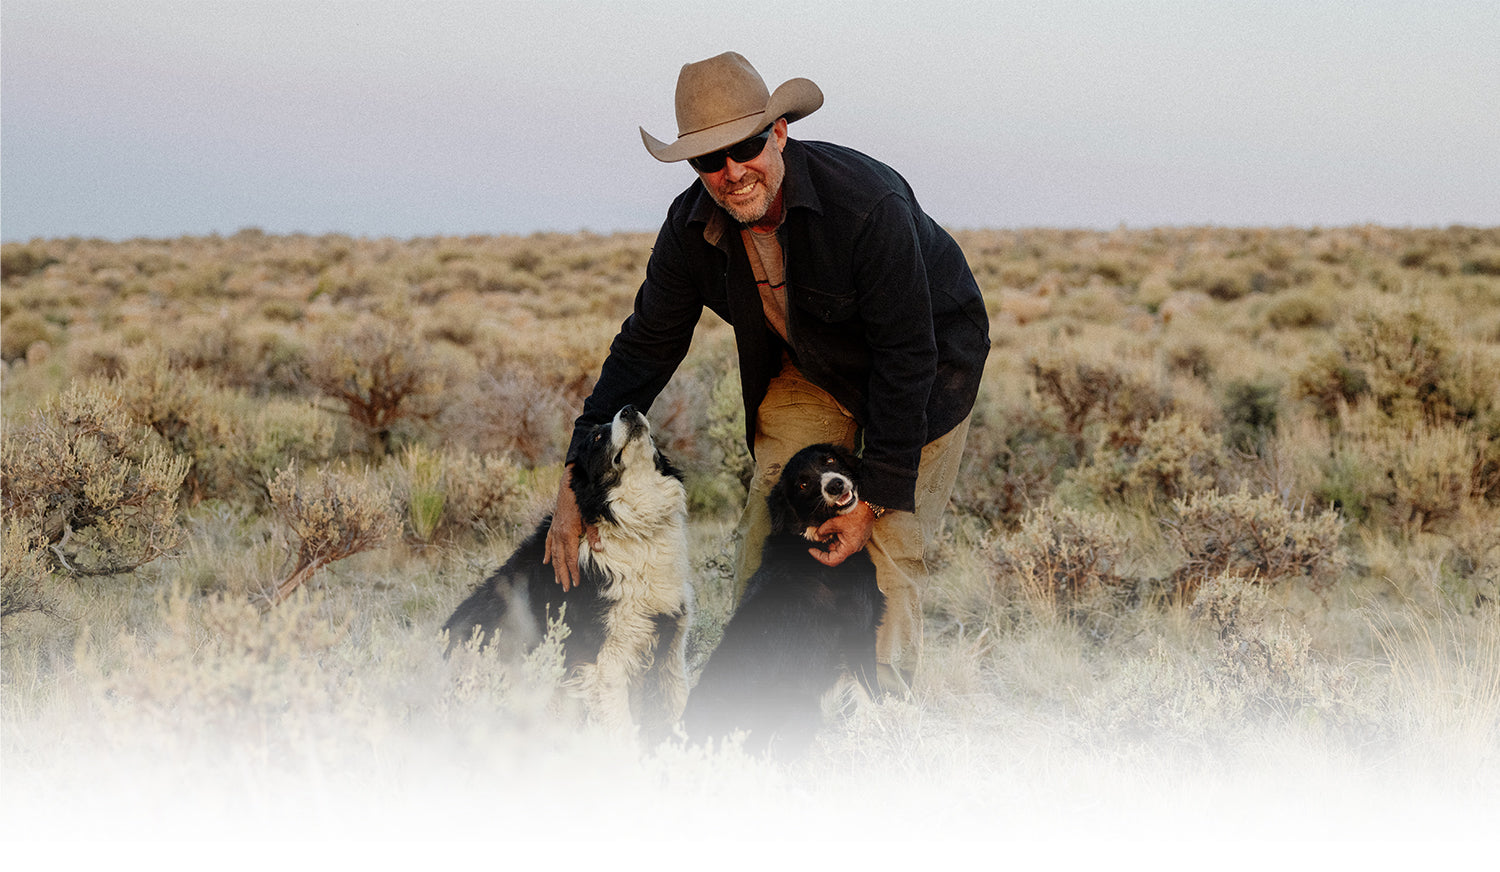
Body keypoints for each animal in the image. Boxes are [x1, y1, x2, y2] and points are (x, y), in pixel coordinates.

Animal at [441, 405, 693, 738]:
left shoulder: (671, 646)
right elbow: (622, 728)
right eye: (597, 436)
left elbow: (679, 704)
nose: (629, 409)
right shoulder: (605, 660)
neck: (631, 527)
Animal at [684, 441, 882, 753]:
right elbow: (869, 691)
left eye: (829, 459)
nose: (835, 485)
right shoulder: (859, 633)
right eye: (803, 484)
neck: (811, 538)